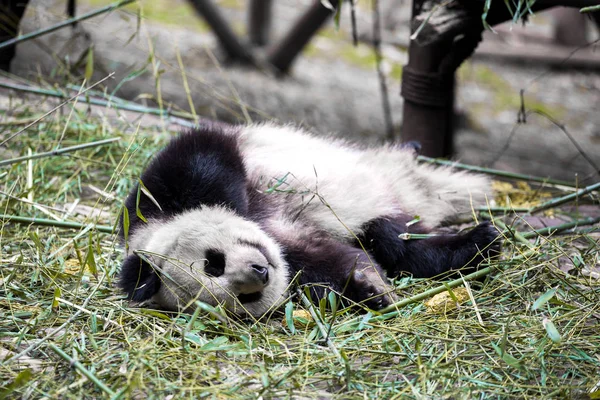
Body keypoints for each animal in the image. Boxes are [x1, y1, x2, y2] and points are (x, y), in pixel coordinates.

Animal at [119, 121, 500, 316]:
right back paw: (473, 246)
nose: (260, 273)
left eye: (214, 262)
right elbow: (327, 268)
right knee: (397, 241)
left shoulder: (159, 192)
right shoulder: (296, 260)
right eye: (241, 299)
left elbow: (207, 159)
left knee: (400, 234)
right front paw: (368, 289)